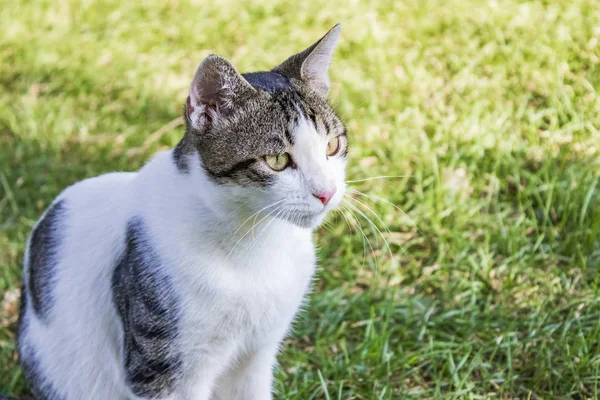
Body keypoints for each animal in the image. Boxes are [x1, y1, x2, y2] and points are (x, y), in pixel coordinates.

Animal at [15, 25, 346, 400]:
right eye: (277, 160)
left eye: (332, 146)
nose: (327, 192)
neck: (255, 241)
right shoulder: (163, 369)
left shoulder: (257, 353)